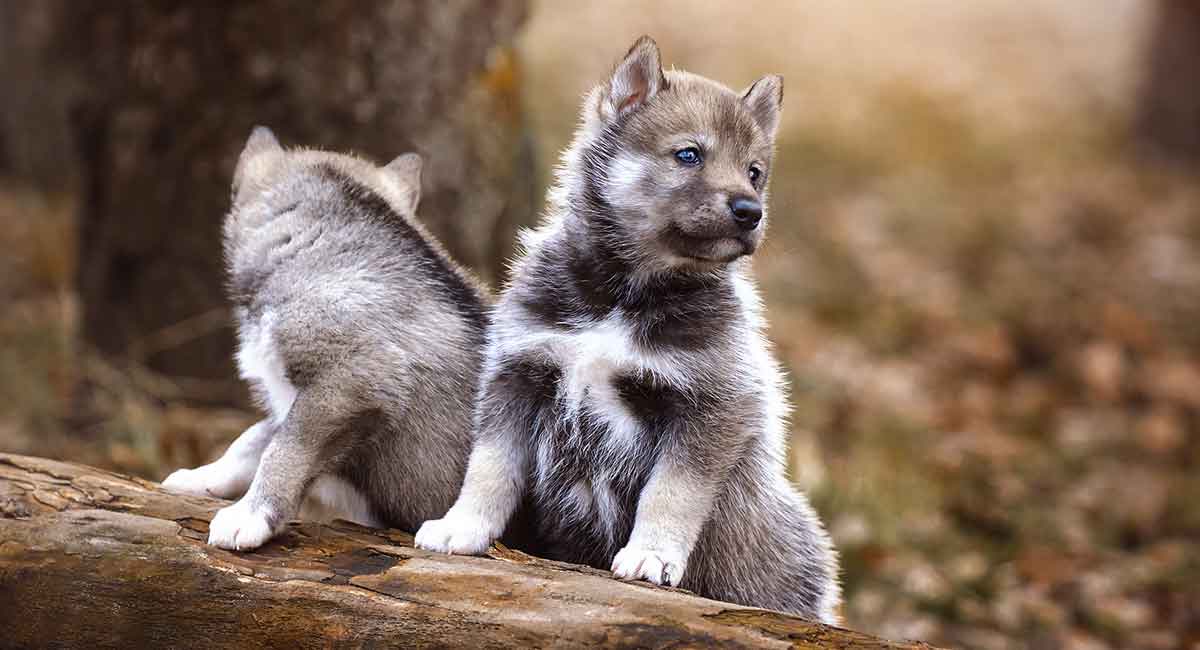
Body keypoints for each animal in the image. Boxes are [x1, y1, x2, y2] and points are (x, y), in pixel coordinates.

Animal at [164, 128, 487, 556]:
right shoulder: (296, 397)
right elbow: (252, 439)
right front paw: (201, 478)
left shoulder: (349, 381)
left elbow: (283, 450)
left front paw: (249, 516)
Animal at [417, 38, 840, 623]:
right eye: (689, 154)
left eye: (755, 171)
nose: (750, 211)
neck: (621, 296)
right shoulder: (517, 375)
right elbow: (489, 466)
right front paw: (462, 526)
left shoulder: (710, 407)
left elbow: (670, 493)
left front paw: (651, 556)